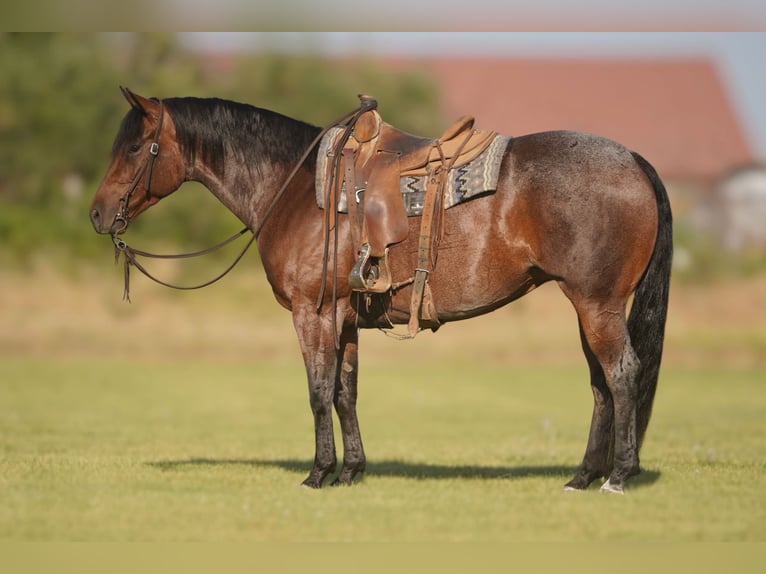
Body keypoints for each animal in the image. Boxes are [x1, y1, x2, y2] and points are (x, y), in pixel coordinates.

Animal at [89, 88, 672, 494]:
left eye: (137, 146)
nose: (97, 213)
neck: (296, 188)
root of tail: (634, 160)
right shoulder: (345, 316)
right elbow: (345, 392)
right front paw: (351, 471)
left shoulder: (313, 312)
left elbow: (318, 390)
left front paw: (318, 473)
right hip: (587, 305)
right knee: (600, 384)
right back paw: (583, 476)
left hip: (596, 304)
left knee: (622, 374)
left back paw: (618, 475)